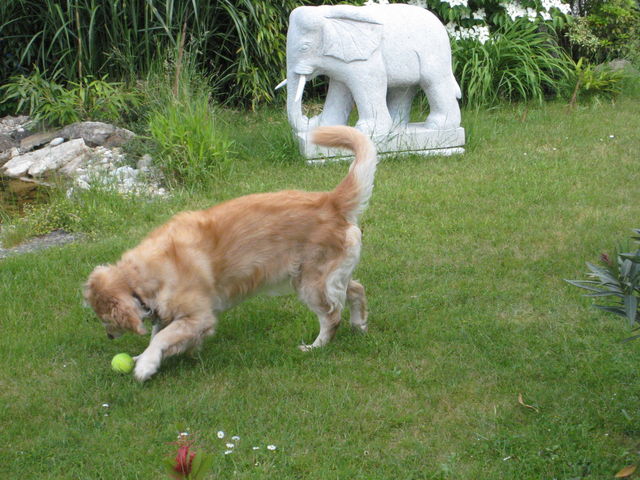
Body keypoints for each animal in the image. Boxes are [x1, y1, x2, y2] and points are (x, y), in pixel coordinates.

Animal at [82, 125, 378, 380]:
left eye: (105, 319)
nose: (109, 337)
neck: (141, 276)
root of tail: (330, 202)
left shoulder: (199, 316)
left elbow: (163, 338)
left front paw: (145, 364)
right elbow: (159, 335)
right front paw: (142, 357)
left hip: (310, 283)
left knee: (331, 316)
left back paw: (316, 346)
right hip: (327, 276)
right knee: (356, 289)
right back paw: (360, 325)